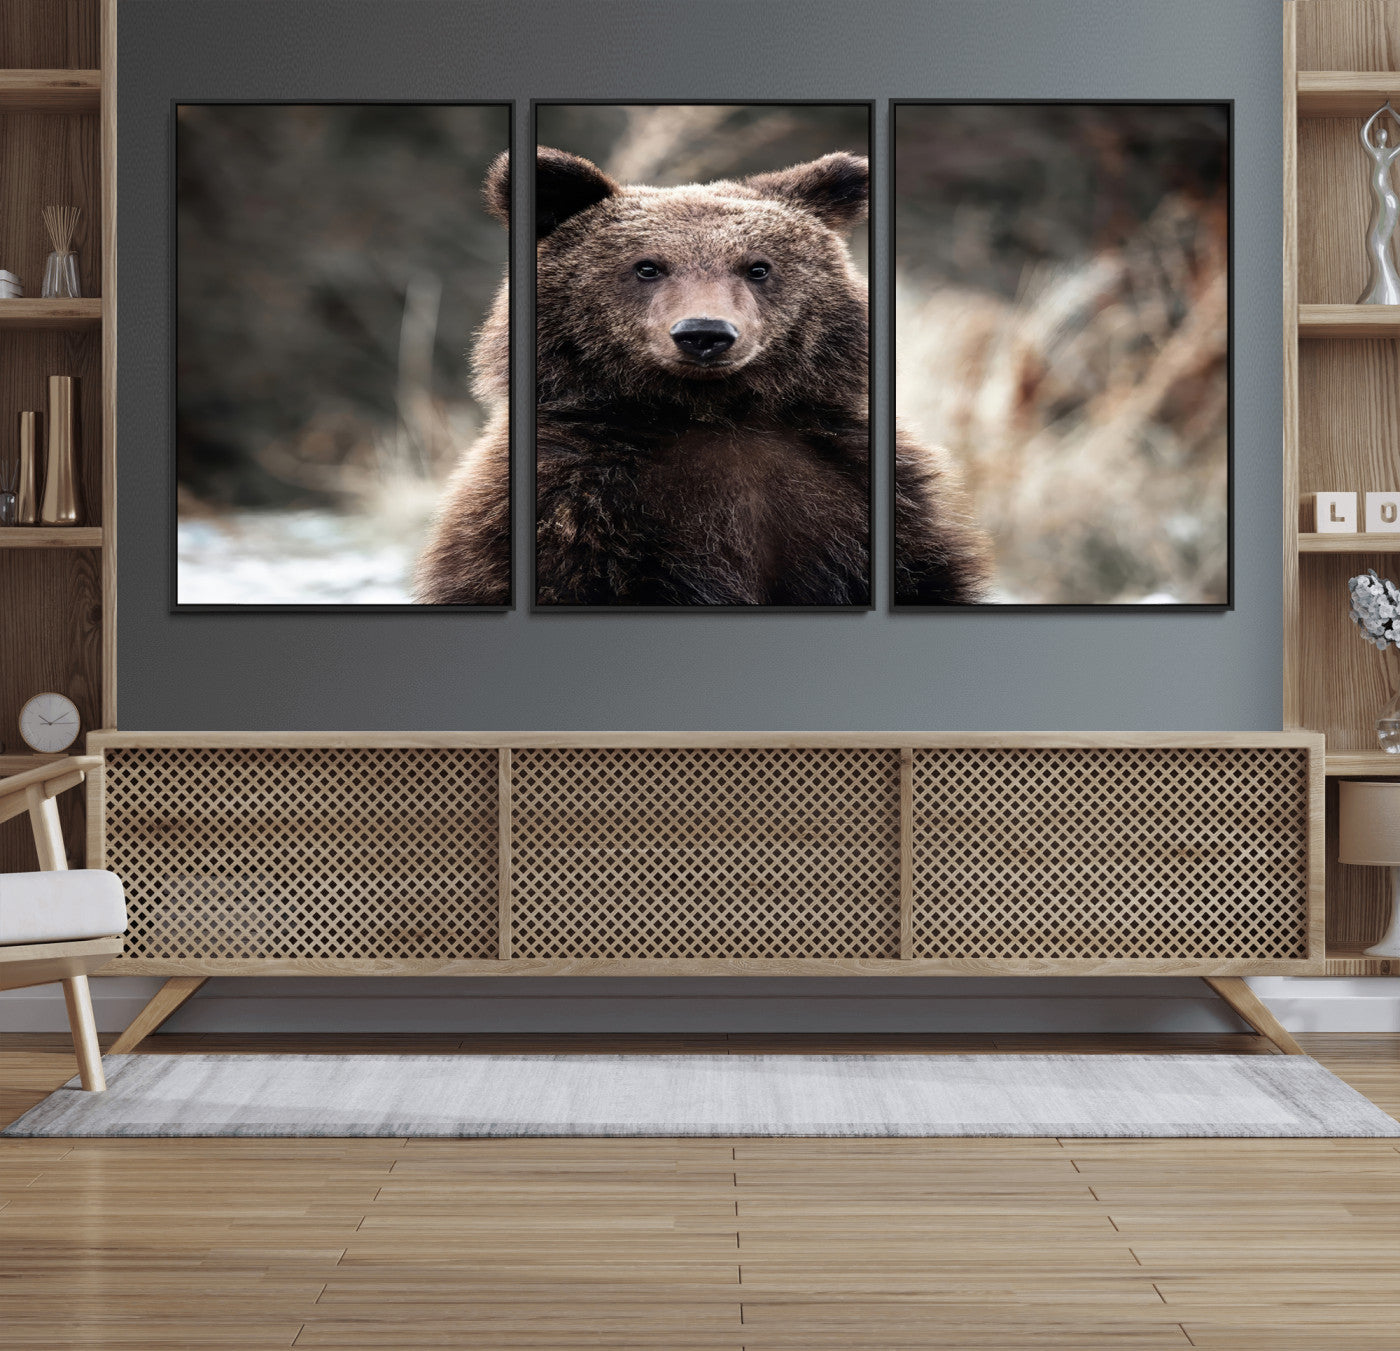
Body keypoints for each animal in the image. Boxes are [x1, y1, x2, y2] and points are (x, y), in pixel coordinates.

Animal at [415, 146, 988, 607]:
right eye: (647, 266)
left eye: (758, 266)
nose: (704, 333)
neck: (711, 413)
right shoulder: (570, 507)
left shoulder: (857, 492)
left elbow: (923, 576)